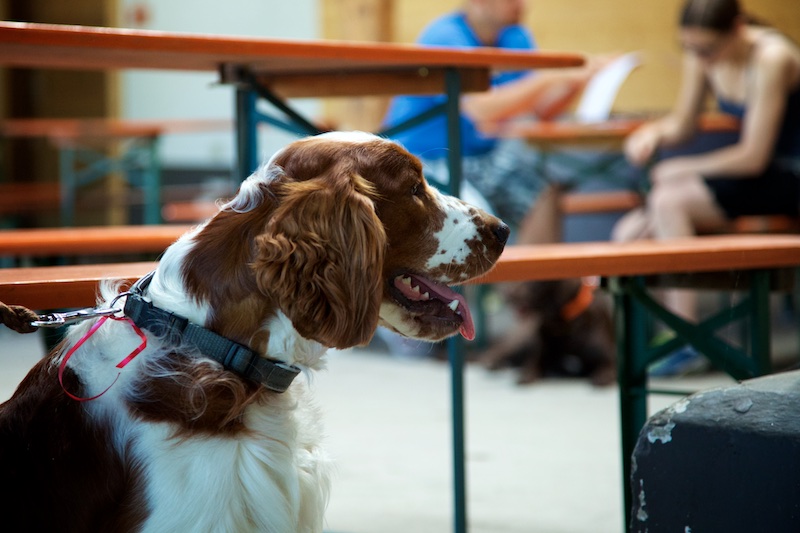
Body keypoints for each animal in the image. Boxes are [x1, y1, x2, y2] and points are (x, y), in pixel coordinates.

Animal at [478, 276, 616, 384]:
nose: (507, 293)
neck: (562, 324)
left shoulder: (608, 360)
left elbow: (605, 373)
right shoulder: (538, 357)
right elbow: (530, 369)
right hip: (520, 341)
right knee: (494, 352)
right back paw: (493, 364)